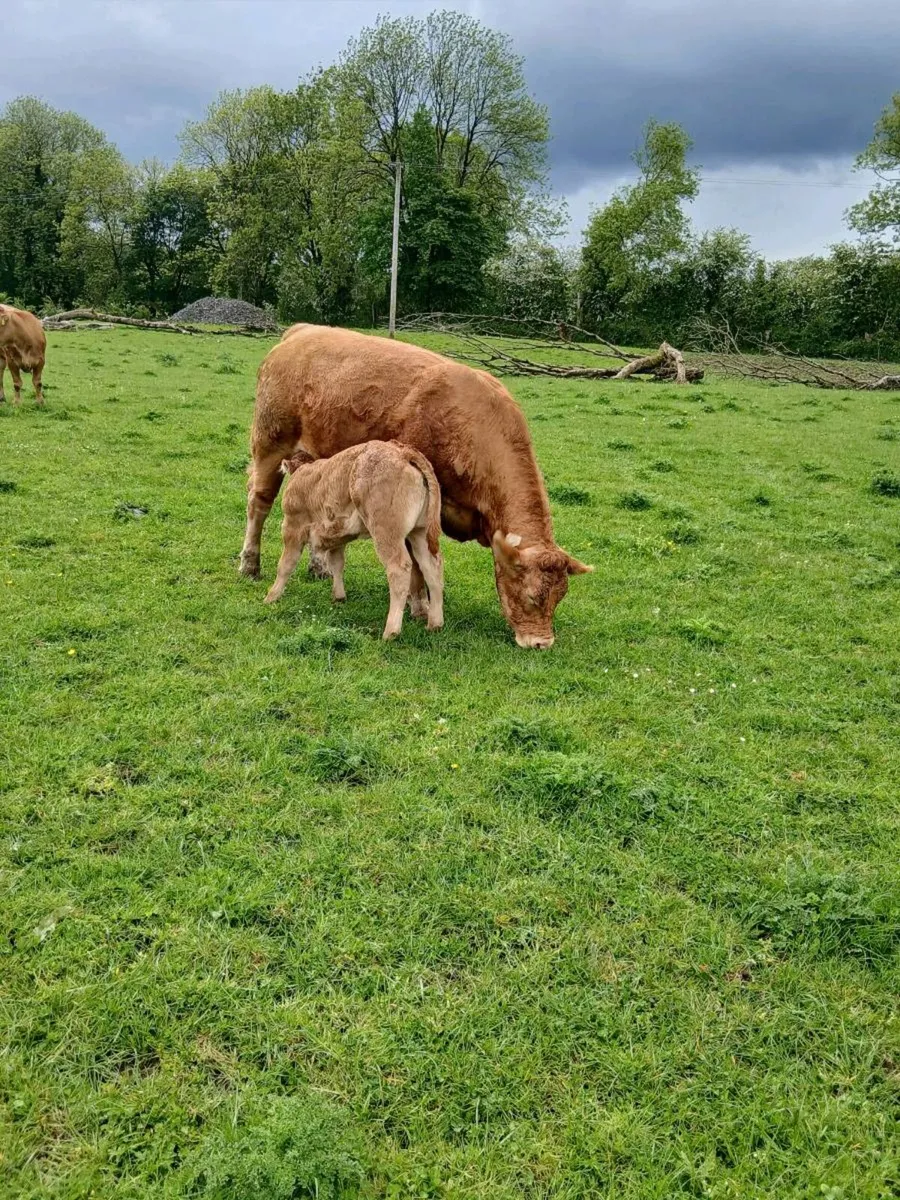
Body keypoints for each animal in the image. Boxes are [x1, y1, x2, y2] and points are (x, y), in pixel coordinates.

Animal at [264, 440, 444, 641]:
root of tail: (402, 450)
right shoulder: (337, 536)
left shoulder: (292, 527)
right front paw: (339, 596)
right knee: (432, 567)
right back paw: (435, 624)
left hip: (386, 531)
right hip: (420, 532)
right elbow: (337, 563)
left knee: (399, 569)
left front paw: (271, 596)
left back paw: (391, 632)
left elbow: (286, 564)